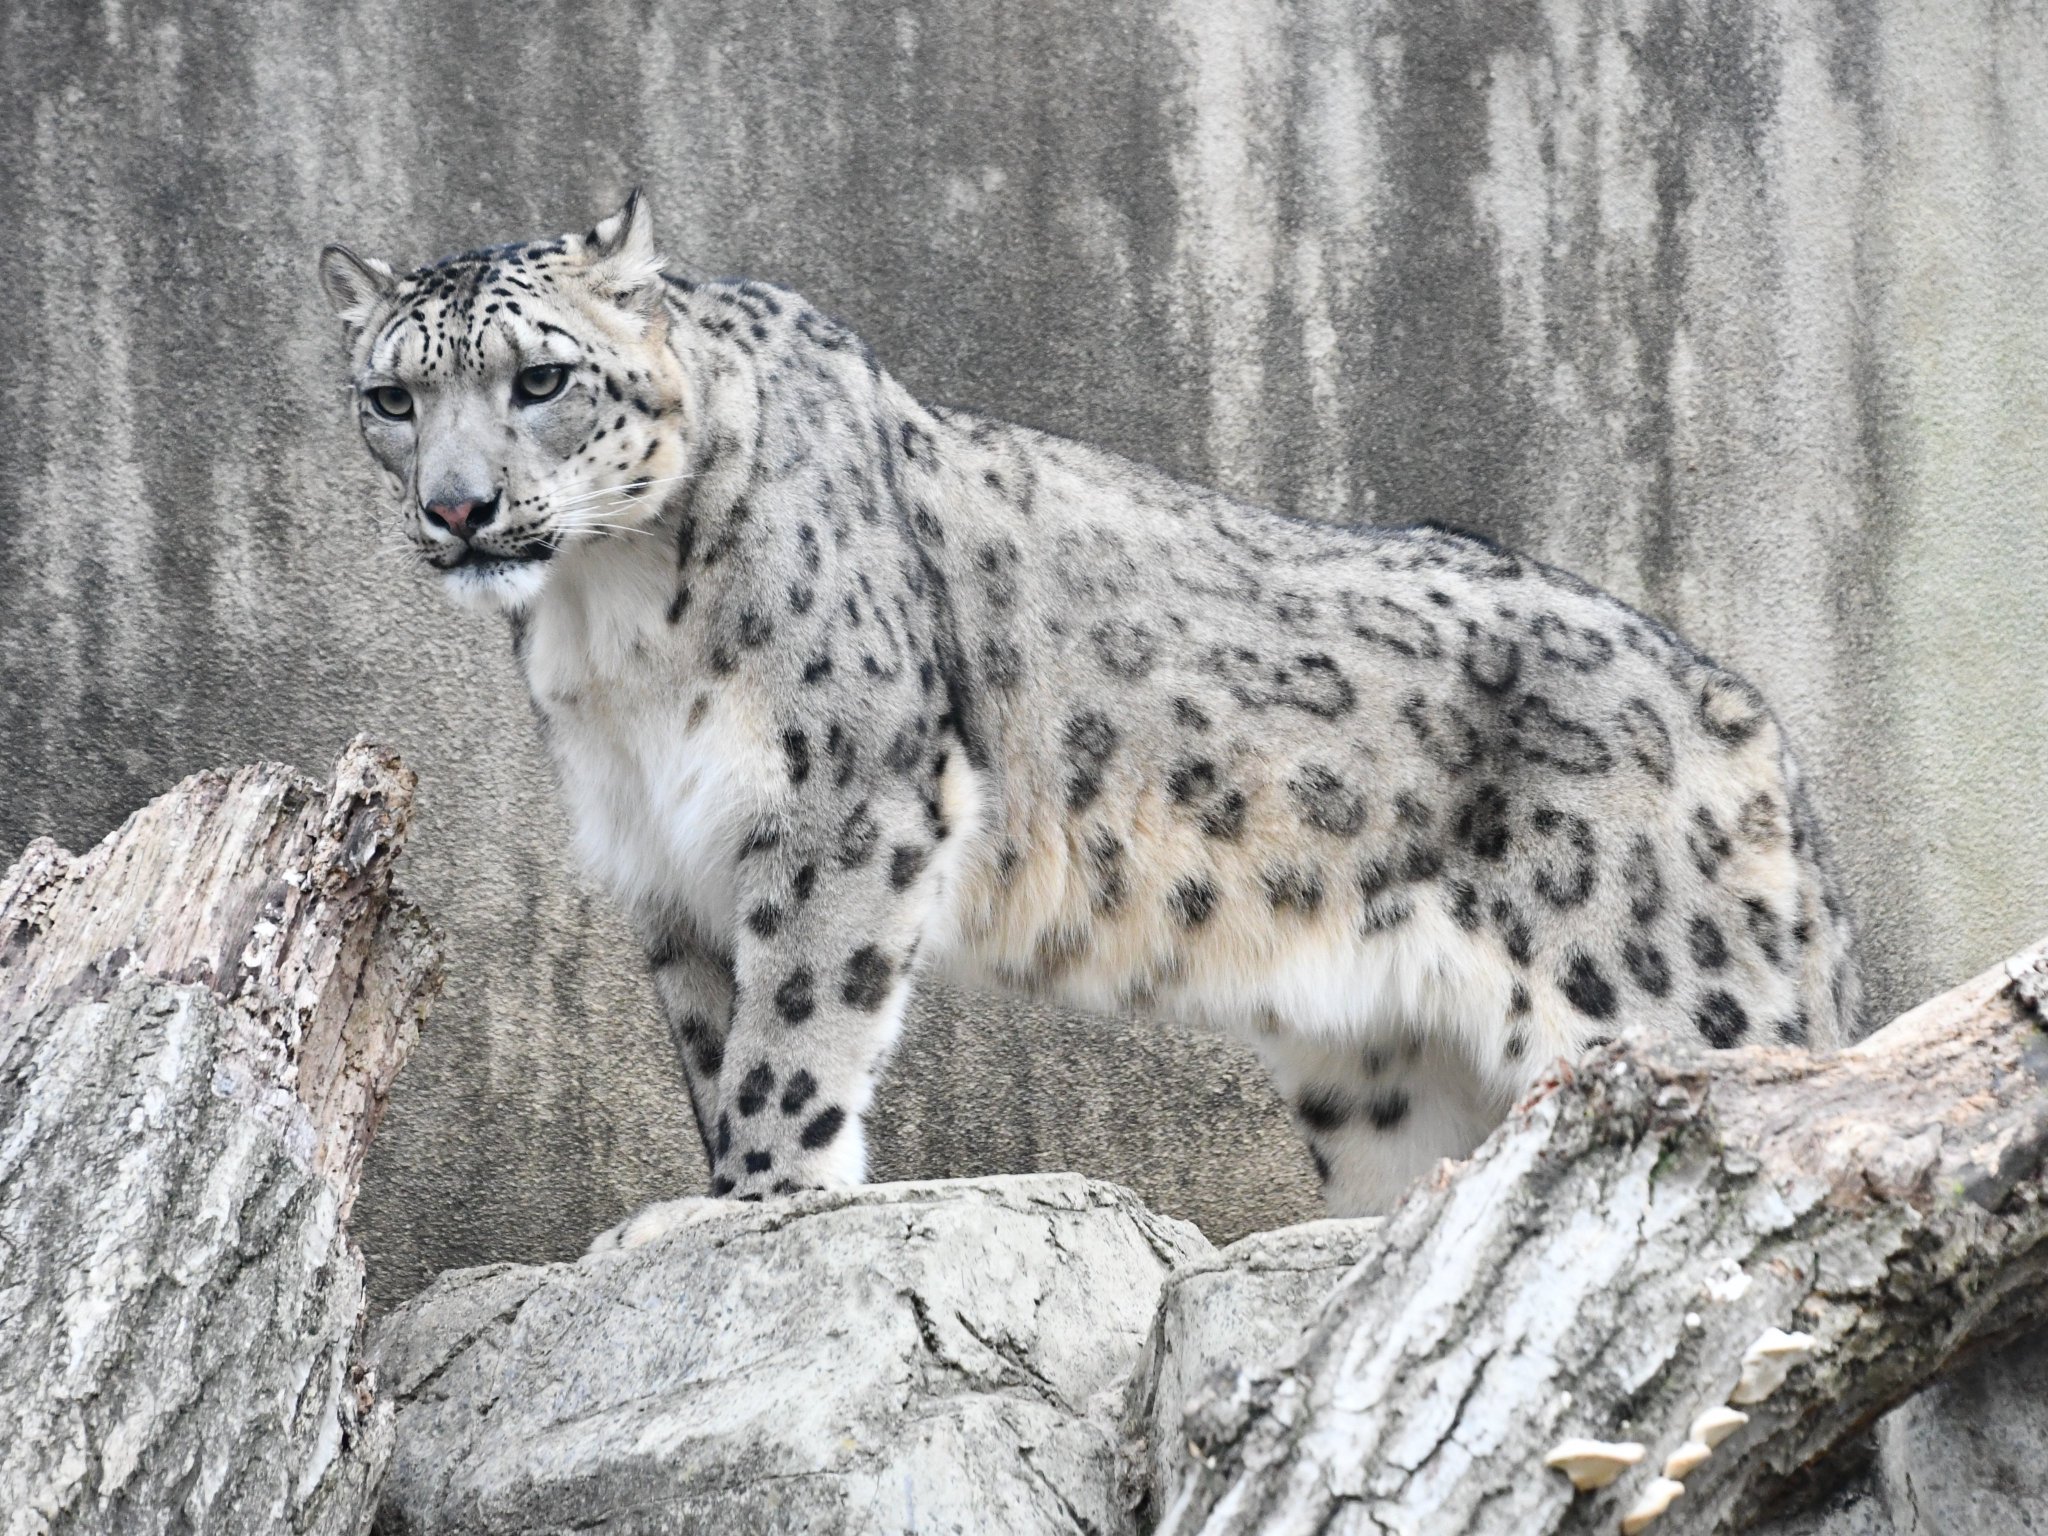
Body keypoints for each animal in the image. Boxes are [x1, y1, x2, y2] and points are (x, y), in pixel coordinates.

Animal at [315, 192, 1859, 1228]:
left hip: (1669, 1003)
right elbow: (717, 1043)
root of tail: (1749, 715)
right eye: (391, 396)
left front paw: (756, 1203)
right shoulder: (667, 862)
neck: (609, 622)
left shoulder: (845, 807)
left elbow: (792, 1039)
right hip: (1387, 1075)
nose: (458, 509)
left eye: (542, 378)